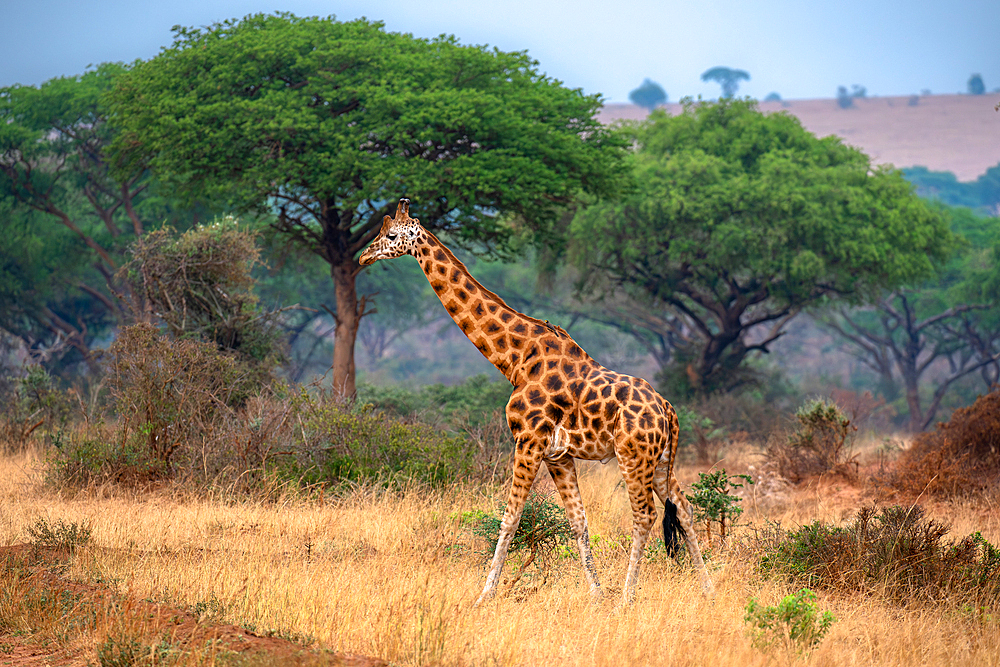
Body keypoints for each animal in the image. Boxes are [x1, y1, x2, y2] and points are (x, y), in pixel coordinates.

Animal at [360, 198, 712, 604]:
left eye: (391, 235)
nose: (363, 256)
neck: (515, 359)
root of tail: (669, 411)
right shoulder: (558, 455)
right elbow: (579, 522)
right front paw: (596, 595)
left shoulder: (528, 441)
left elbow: (510, 518)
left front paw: (484, 596)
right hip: (661, 461)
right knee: (684, 509)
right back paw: (709, 589)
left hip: (633, 457)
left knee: (645, 516)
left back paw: (627, 598)